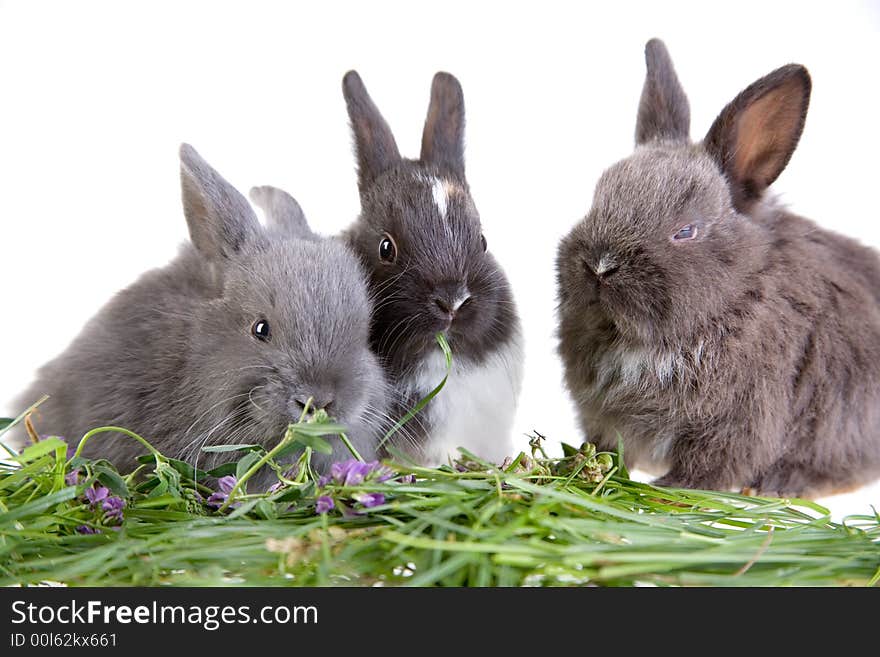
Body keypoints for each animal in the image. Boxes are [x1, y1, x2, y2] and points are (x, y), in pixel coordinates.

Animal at [556, 38, 880, 494]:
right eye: (597, 199)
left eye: (686, 231)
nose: (600, 266)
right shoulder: (604, 418)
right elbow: (607, 447)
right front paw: (578, 467)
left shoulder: (738, 423)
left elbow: (708, 469)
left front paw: (668, 490)